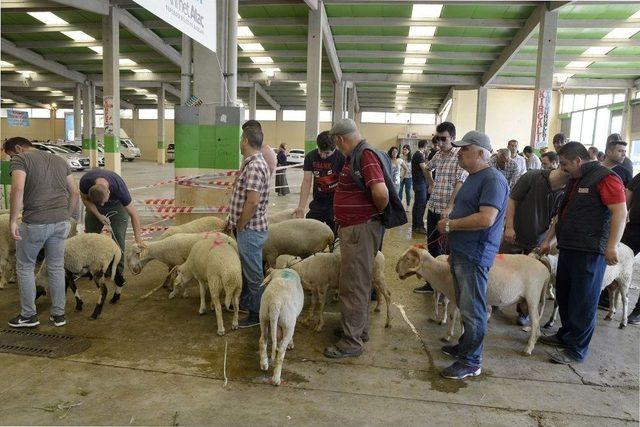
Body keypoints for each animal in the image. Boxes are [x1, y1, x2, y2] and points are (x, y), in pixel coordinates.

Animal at [396, 246, 552, 356]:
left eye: (408, 258)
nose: (396, 269)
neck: (440, 271)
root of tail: (545, 271)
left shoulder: (456, 298)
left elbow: (454, 316)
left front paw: (448, 336)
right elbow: (462, 319)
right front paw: (462, 335)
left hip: (532, 296)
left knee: (535, 322)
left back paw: (528, 348)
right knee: (536, 324)